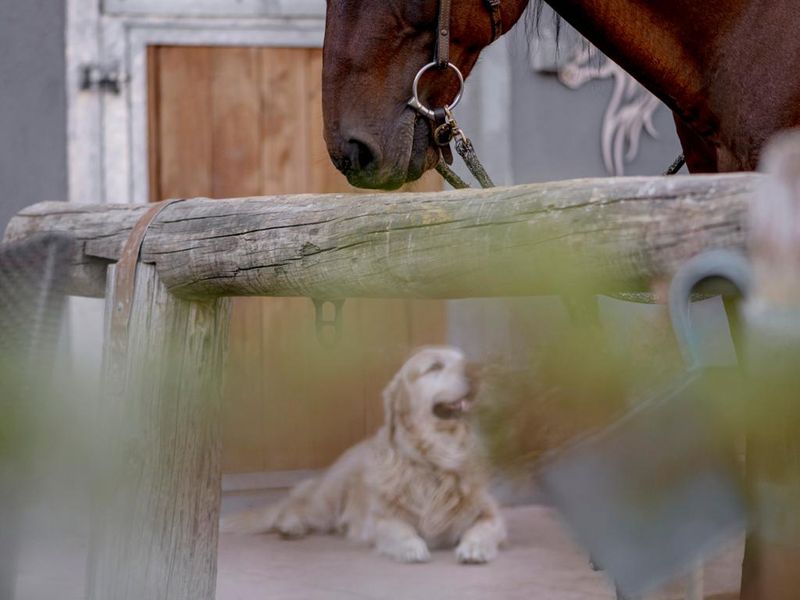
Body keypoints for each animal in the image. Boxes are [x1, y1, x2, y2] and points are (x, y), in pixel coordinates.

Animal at [220, 344, 506, 564]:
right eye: (435, 366)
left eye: (463, 358)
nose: (479, 369)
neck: (437, 459)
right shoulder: (380, 519)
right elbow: (399, 529)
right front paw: (411, 547)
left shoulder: (491, 514)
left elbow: (483, 528)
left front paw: (474, 548)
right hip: (327, 498)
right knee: (293, 508)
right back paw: (290, 527)